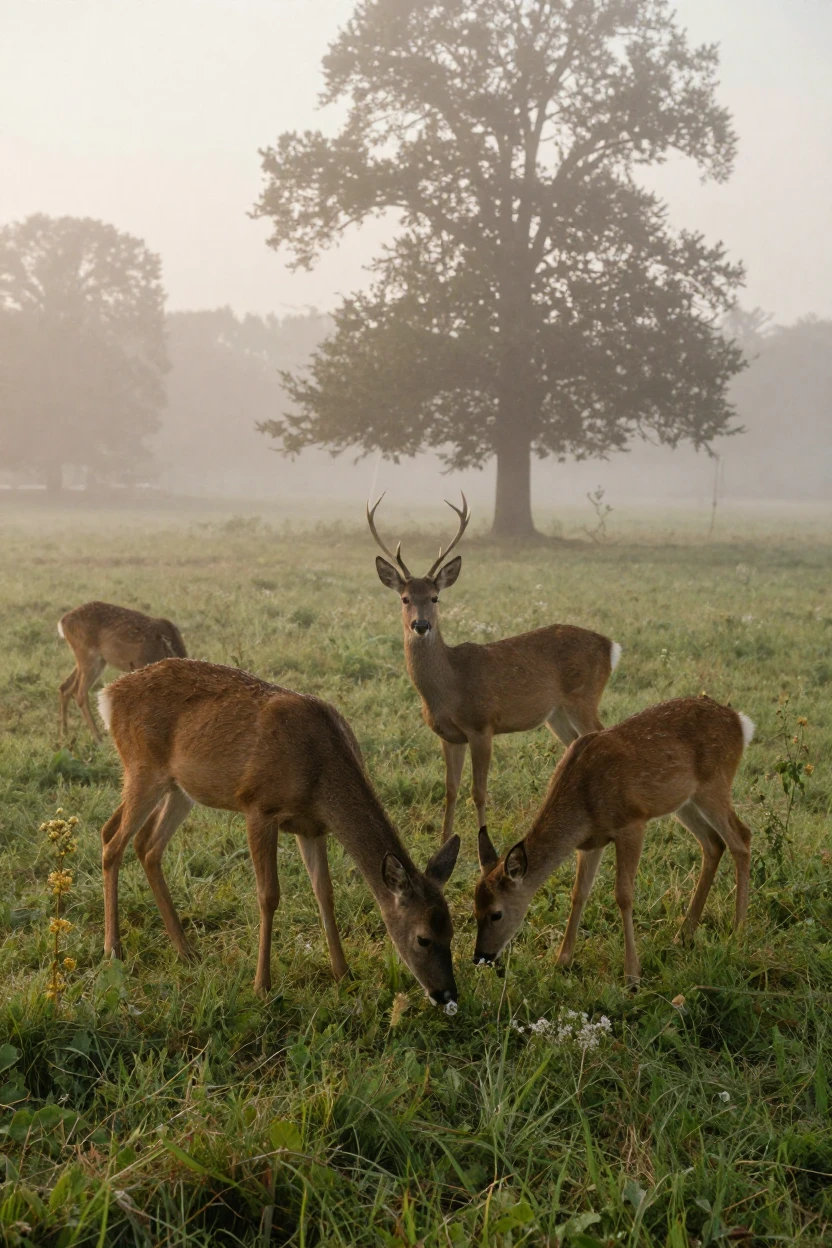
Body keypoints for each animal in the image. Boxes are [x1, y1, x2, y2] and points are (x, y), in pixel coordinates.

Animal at [58, 601, 187, 741]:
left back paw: (65, 733)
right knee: (80, 693)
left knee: (65, 687)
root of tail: (63, 622)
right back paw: (98, 739)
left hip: (93, 660)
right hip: (88, 656)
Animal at [96, 658, 462, 1009]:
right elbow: (268, 895)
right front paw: (262, 985)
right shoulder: (258, 807)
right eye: (423, 938)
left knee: (142, 843)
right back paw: (113, 950)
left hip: (180, 788)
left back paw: (186, 950)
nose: (447, 994)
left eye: (452, 930)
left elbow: (324, 892)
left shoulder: (312, 827)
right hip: (143, 767)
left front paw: (343, 973)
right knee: (114, 843)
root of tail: (109, 695)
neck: (319, 774)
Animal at [368, 494, 620, 843]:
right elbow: (450, 790)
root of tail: (610, 646)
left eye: (435, 597)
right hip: (555, 714)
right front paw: (443, 843)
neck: (449, 687)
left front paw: (482, 843)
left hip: (584, 697)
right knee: (575, 746)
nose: (421, 625)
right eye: (405, 598)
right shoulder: (449, 735)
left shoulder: (482, 725)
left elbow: (479, 791)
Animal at [473, 696, 755, 982]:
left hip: (715, 784)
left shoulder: (632, 822)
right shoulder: (590, 842)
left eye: (496, 913)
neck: (583, 804)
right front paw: (562, 961)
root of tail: (740, 722)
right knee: (713, 843)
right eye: (474, 910)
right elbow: (579, 893)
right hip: (683, 801)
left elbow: (623, 894)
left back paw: (738, 930)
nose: (480, 957)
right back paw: (683, 934)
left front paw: (632, 974)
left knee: (741, 838)